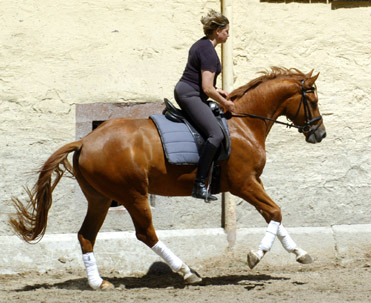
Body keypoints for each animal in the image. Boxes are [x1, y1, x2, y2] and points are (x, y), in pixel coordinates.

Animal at [10, 67, 326, 290]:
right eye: (312, 99)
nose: (319, 134)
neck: (243, 124)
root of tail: (85, 141)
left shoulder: (254, 182)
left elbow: (273, 215)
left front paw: (300, 252)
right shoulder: (243, 183)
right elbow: (275, 211)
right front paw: (256, 255)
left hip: (100, 197)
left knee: (86, 235)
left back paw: (98, 283)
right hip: (132, 194)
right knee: (145, 234)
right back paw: (187, 272)